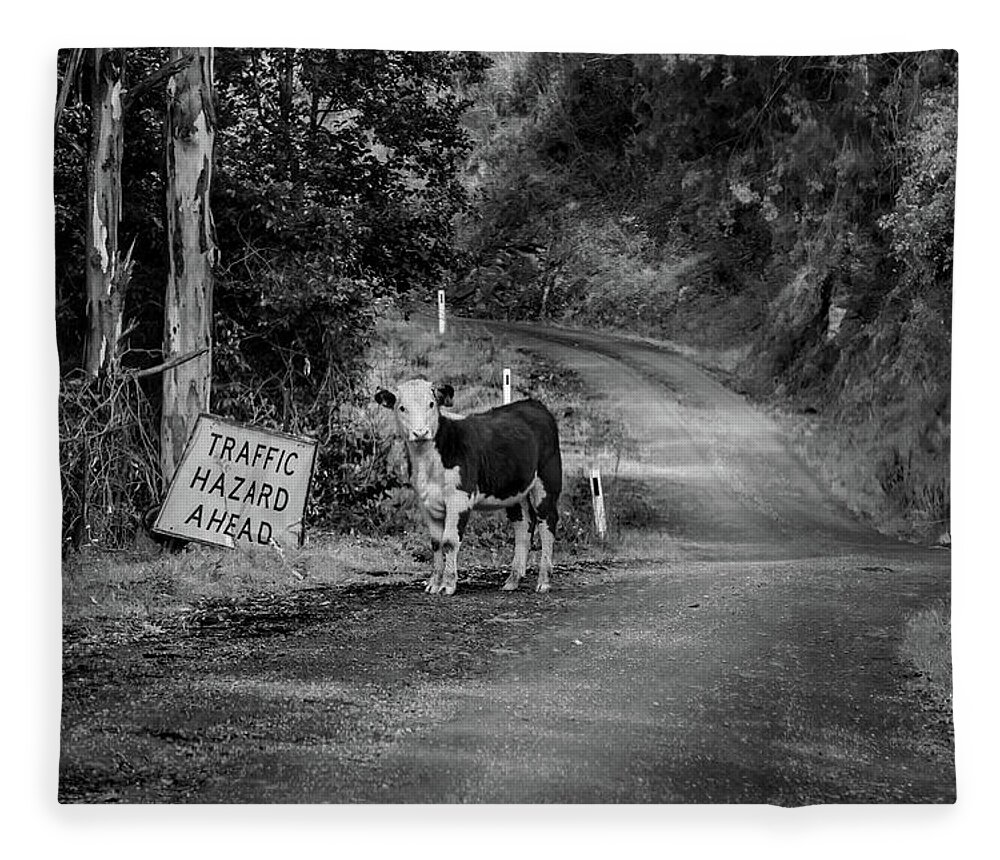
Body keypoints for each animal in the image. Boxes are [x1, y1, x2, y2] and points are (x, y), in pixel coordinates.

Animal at [376, 380, 564, 596]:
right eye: (402, 407)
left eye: (431, 404)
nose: (420, 432)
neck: (429, 462)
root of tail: (533, 404)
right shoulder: (425, 501)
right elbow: (436, 543)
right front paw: (434, 583)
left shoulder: (460, 498)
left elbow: (449, 542)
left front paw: (447, 585)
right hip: (514, 489)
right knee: (524, 525)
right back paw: (513, 579)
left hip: (547, 481)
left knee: (547, 522)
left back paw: (544, 581)